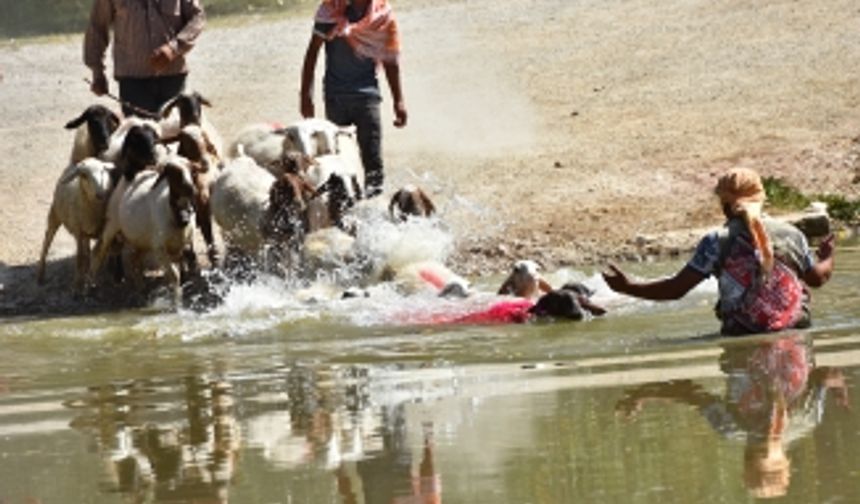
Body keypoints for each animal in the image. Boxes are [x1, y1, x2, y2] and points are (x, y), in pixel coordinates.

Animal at [36, 158, 118, 292]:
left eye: (103, 171)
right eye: (84, 175)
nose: (100, 194)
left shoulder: (102, 232)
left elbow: (98, 256)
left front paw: (91, 282)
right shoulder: (78, 232)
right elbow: (79, 259)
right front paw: (77, 286)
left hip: (85, 232)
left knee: (87, 252)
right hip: (55, 213)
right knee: (47, 241)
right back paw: (40, 275)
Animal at [91, 156, 198, 306]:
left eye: (191, 170)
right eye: (173, 172)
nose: (190, 189)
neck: (177, 218)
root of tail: (133, 174)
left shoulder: (182, 246)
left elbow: (180, 274)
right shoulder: (160, 249)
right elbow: (174, 276)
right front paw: (177, 305)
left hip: (142, 241)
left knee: (134, 261)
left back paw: (140, 293)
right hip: (112, 223)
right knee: (99, 251)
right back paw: (91, 289)